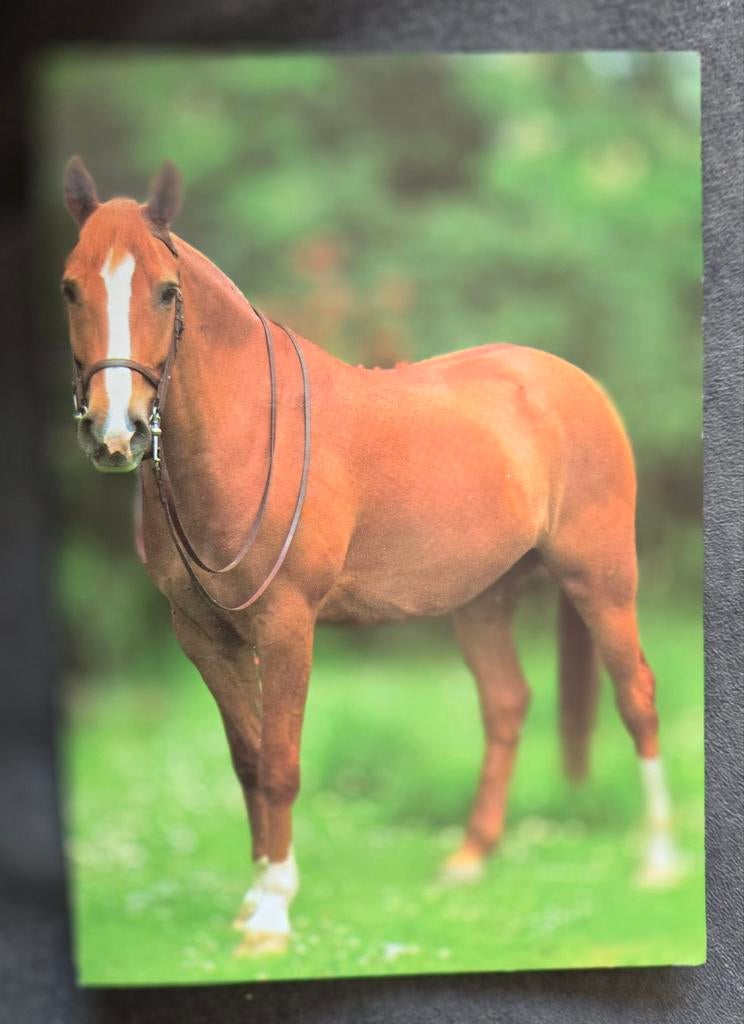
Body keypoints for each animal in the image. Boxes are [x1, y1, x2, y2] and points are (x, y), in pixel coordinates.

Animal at [61, 157, 681, 956]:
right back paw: (469, 859)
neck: (248, 435)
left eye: (166, 291)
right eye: (70, 286)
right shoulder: (203, 637)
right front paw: (253, 899)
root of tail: (568, 380)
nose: (117, 432)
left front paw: (272, 915)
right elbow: (248, 761)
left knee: (636, 694)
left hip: (601, 579)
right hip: (485, 600)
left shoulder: (287, 628)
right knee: (507, 704)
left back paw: (659, 860)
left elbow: (282, 765)